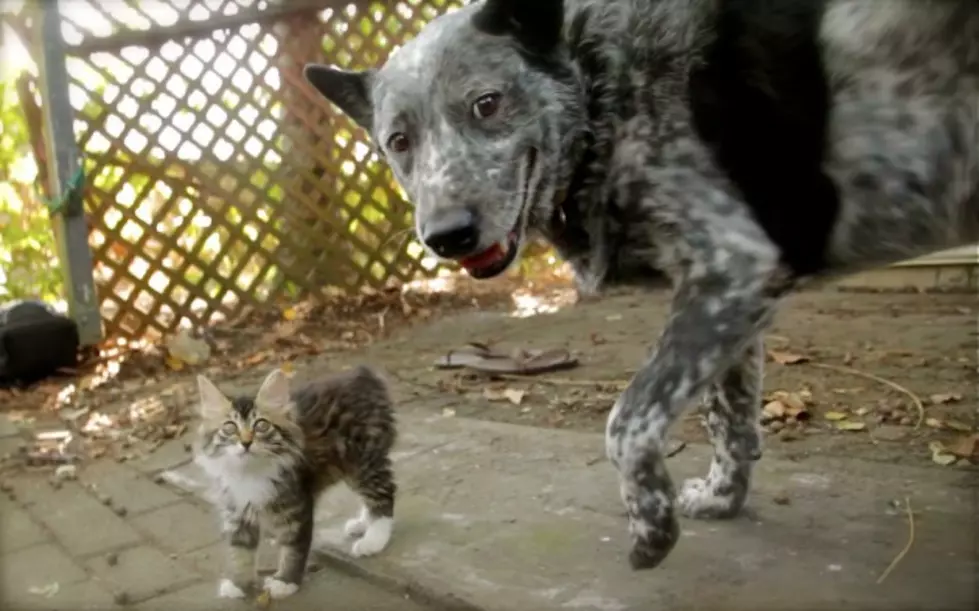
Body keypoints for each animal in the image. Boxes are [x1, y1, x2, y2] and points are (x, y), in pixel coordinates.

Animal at [194, 366, 398, 600]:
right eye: (229, 428)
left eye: (261, 425)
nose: (246, 443)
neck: (250, 472)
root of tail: (363, 374)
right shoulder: (237, 511)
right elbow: (240, 552)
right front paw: (238, 583)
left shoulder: (296, 506)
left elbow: (294, 549)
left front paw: (285, 582)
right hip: (352, 468)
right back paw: (363, 523)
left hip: (364, 461)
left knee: (384, 494)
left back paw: (374, 539)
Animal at [304, 1, 979, 568]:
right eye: (398, 141)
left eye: (487, 103)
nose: (446, 236)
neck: (603, 82)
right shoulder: (733, 296)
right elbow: (729, 418)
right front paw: (722, 497)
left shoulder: (731, 270)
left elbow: (625, 423)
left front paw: (653, 528)